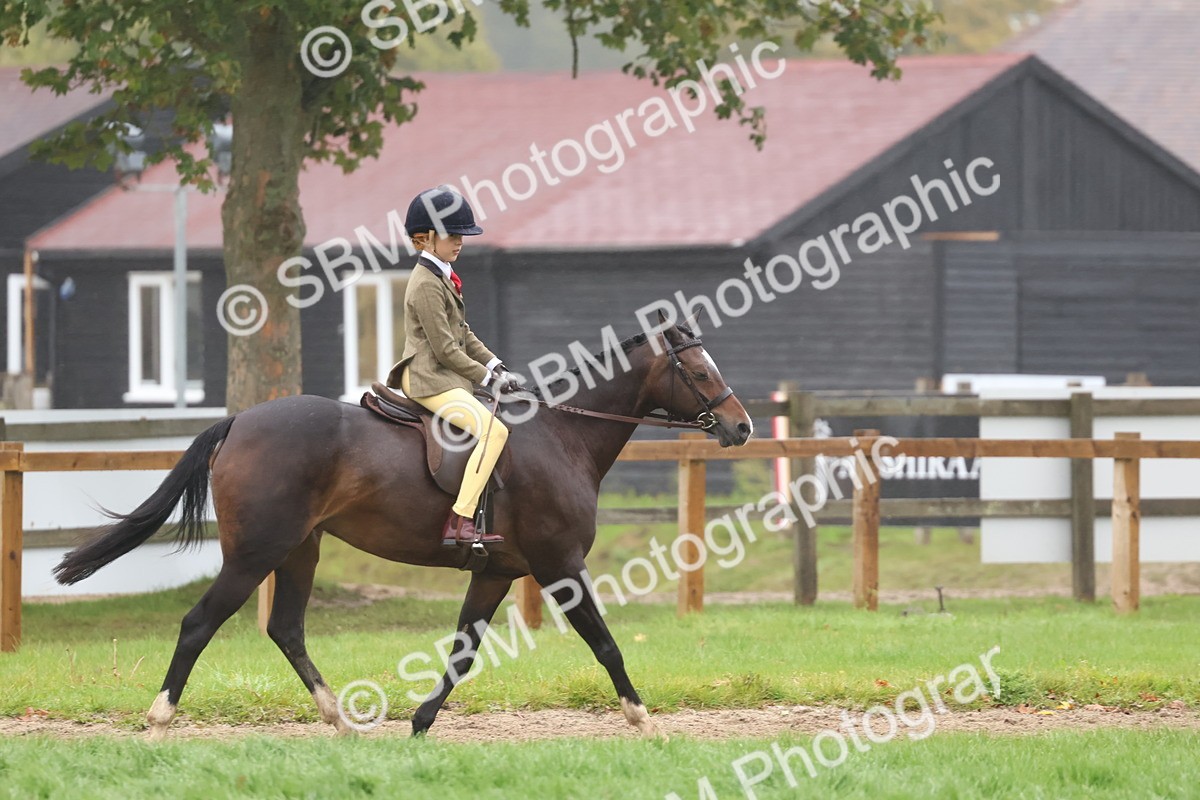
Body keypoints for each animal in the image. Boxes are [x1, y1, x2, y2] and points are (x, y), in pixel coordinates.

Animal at [54, 319, 753, 740]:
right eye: (700, 372)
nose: (741, 427)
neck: (563, 434)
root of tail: (241, 421)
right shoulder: (560, 566)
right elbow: (606, 645)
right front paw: (644, 720)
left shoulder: (498, 572)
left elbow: (463, 650)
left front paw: (418, 724)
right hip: (255, 554)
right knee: (200, 623)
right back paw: (159, 718)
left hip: (300, 550)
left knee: (286, 628)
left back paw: (338, 720)